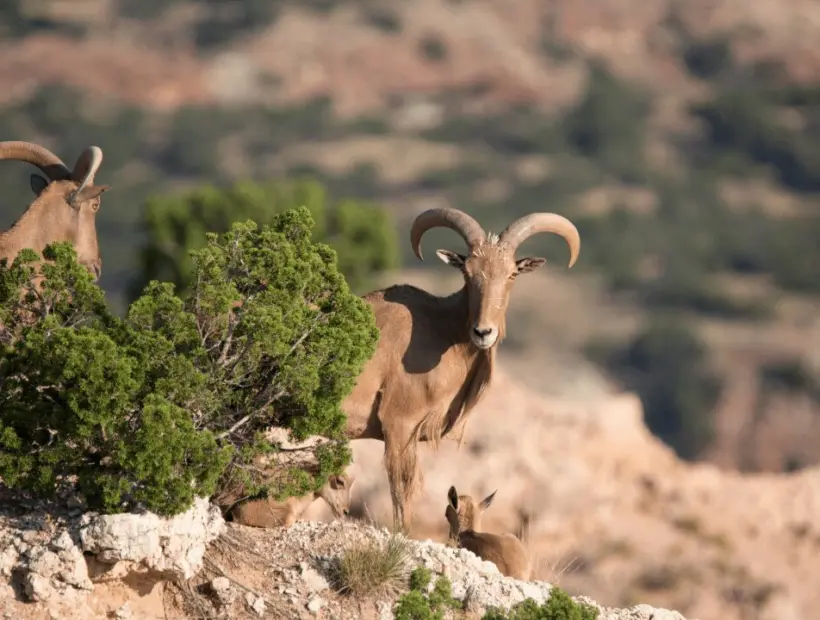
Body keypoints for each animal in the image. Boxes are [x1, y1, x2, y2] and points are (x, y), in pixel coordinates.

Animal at [341, 207, 580, 533]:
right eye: (467, 273)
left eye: (512, 273)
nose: (483, 332)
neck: (441, 329)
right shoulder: (399, 424)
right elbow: (402, 492)